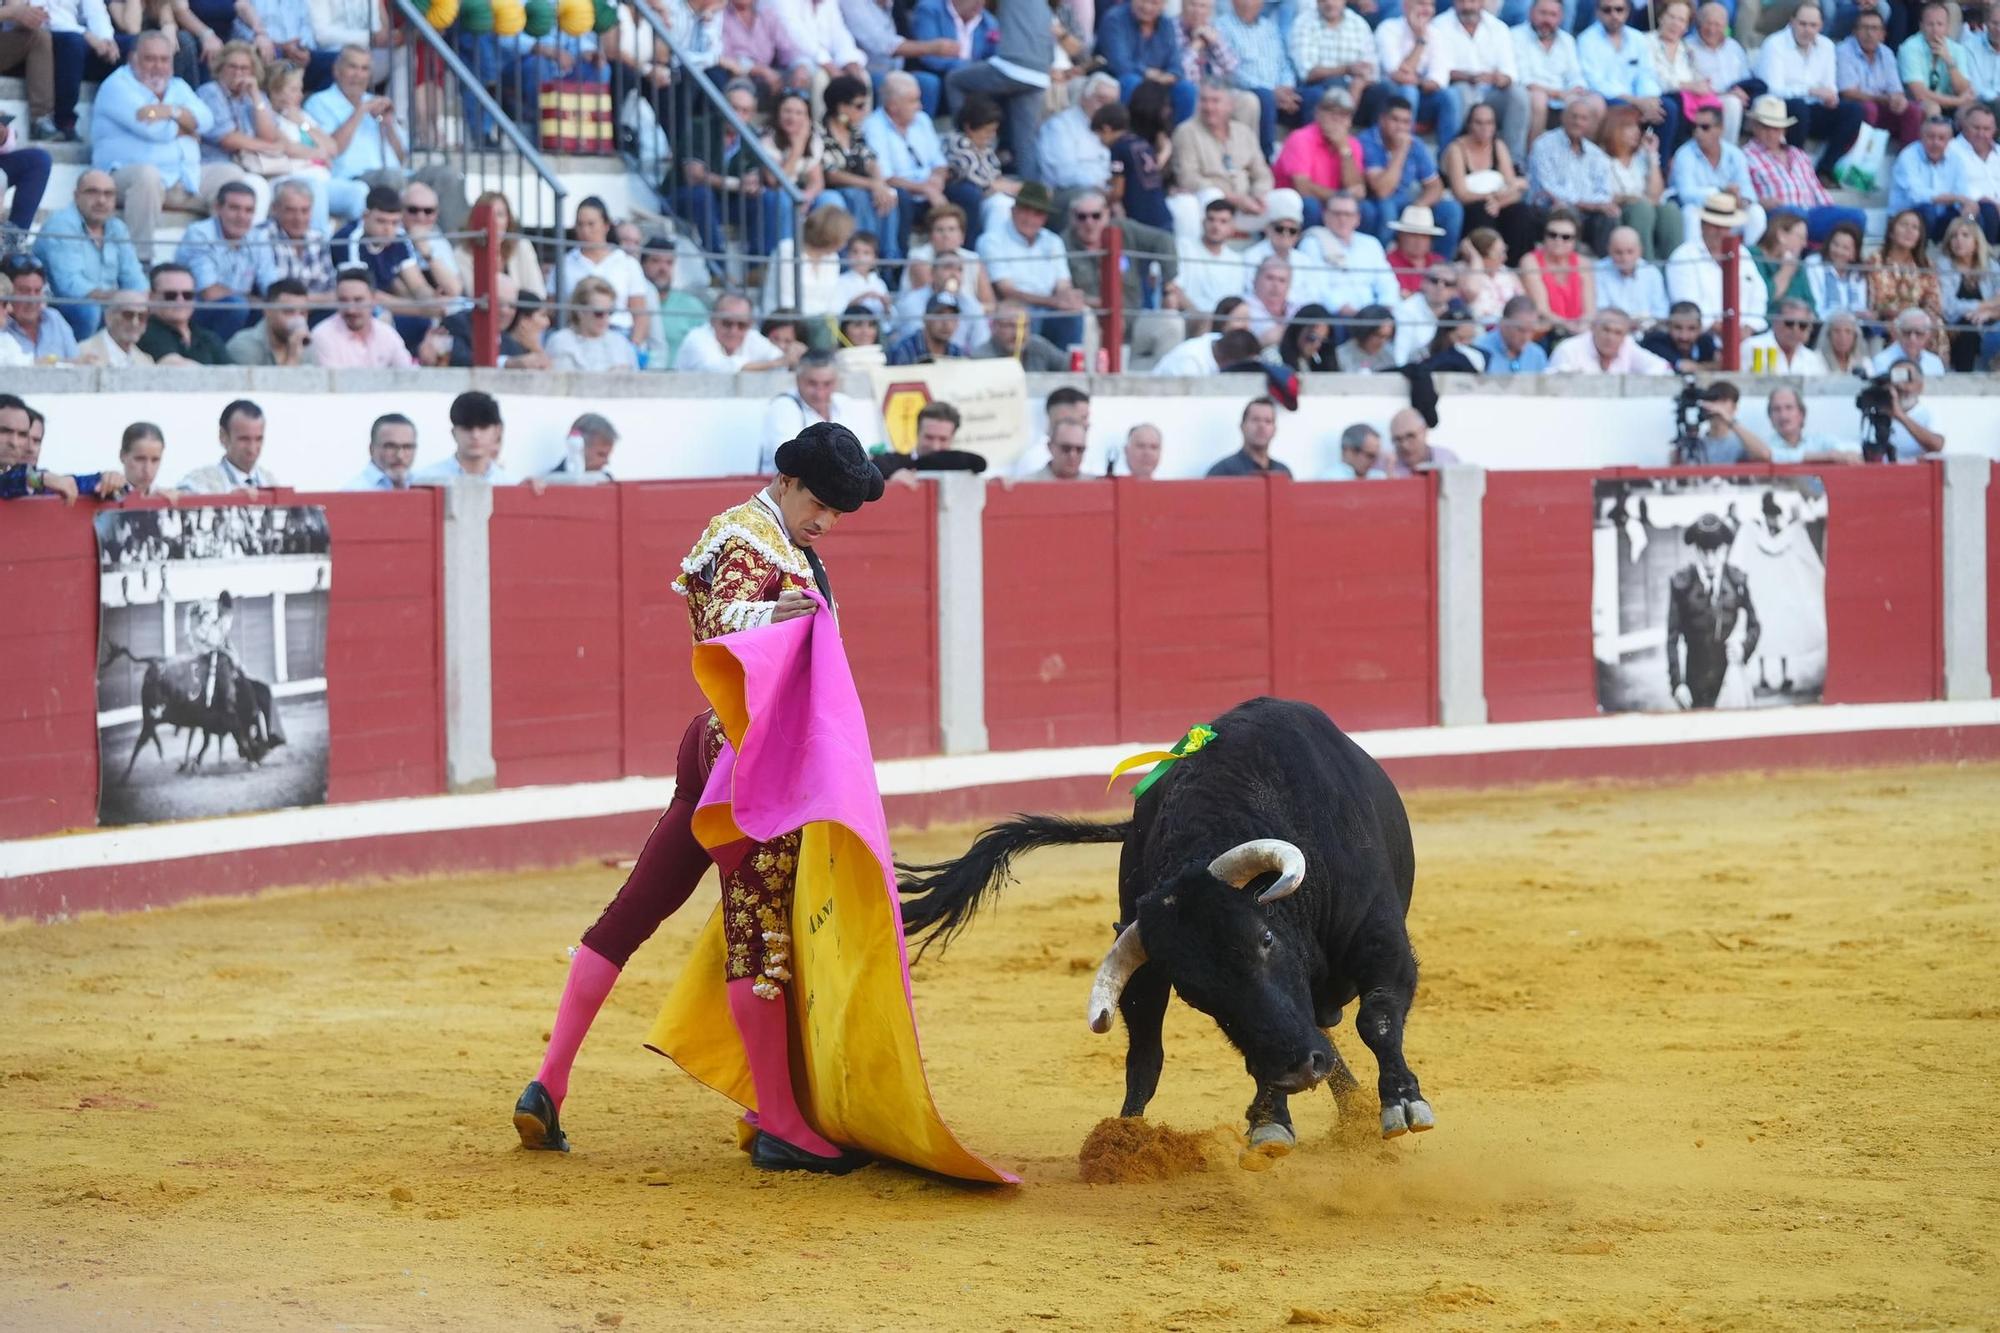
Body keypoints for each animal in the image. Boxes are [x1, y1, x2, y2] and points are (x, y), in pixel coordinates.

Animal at [102, 644, 286, 780]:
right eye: (261, 745)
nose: (259, 760)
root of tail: (153, 661)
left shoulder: (208, 723)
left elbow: (206, 744)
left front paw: (194, 764)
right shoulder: (232, 722)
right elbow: (241, 740)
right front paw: (252, 763)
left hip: (150, 716)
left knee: (148, 737)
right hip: (152, 715)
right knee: (141, 741)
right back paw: (125, 776)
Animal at [900, 696, 1432, 1144]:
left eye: (1265, 939)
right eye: (1195, 995)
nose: (1296, 1070)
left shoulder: (1381, 939)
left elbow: (1377, 1018)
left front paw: (1404, 1104)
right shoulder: (1150, 968)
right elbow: (1157, 1055)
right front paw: (1268, 1120)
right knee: (1152, 1056)